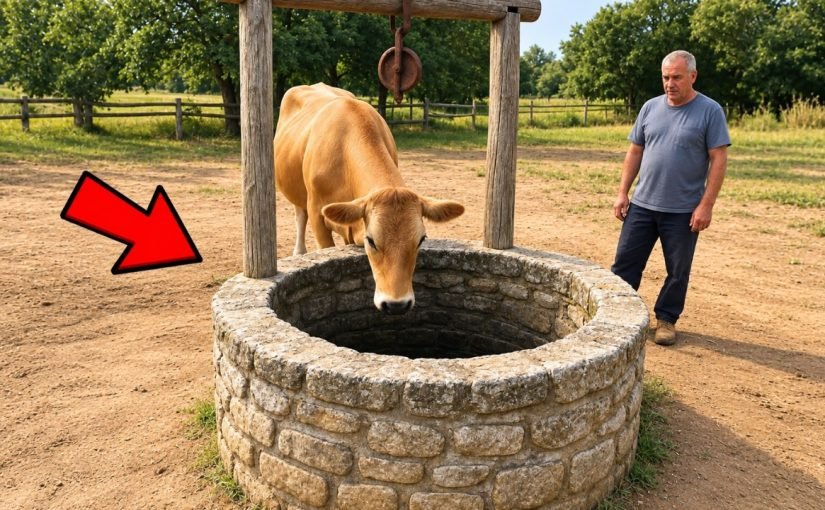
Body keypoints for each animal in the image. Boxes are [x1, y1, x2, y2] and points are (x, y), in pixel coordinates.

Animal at [274, 83, 464, 315]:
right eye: (371, 240)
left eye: (421, 240)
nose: (396, 304)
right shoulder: (317, 213)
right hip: (297, 194)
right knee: (300, 217)